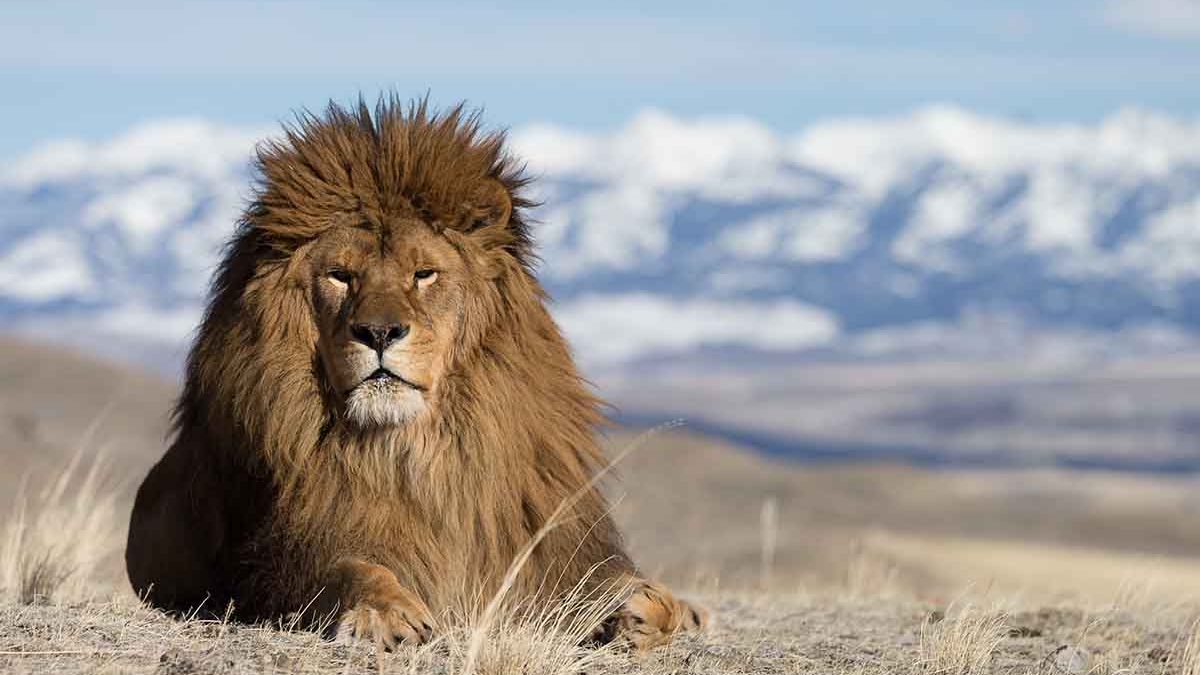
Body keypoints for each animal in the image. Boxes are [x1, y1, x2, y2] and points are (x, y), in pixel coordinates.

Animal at [125, 98, 706, 651]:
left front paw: (645, 611)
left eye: (423, 273)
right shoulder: (278, 553)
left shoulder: (544, 542)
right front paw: (386, 612)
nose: (379, 332)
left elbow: (622, 585)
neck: (417, 454)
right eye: (341, 275)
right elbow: (347, 569)